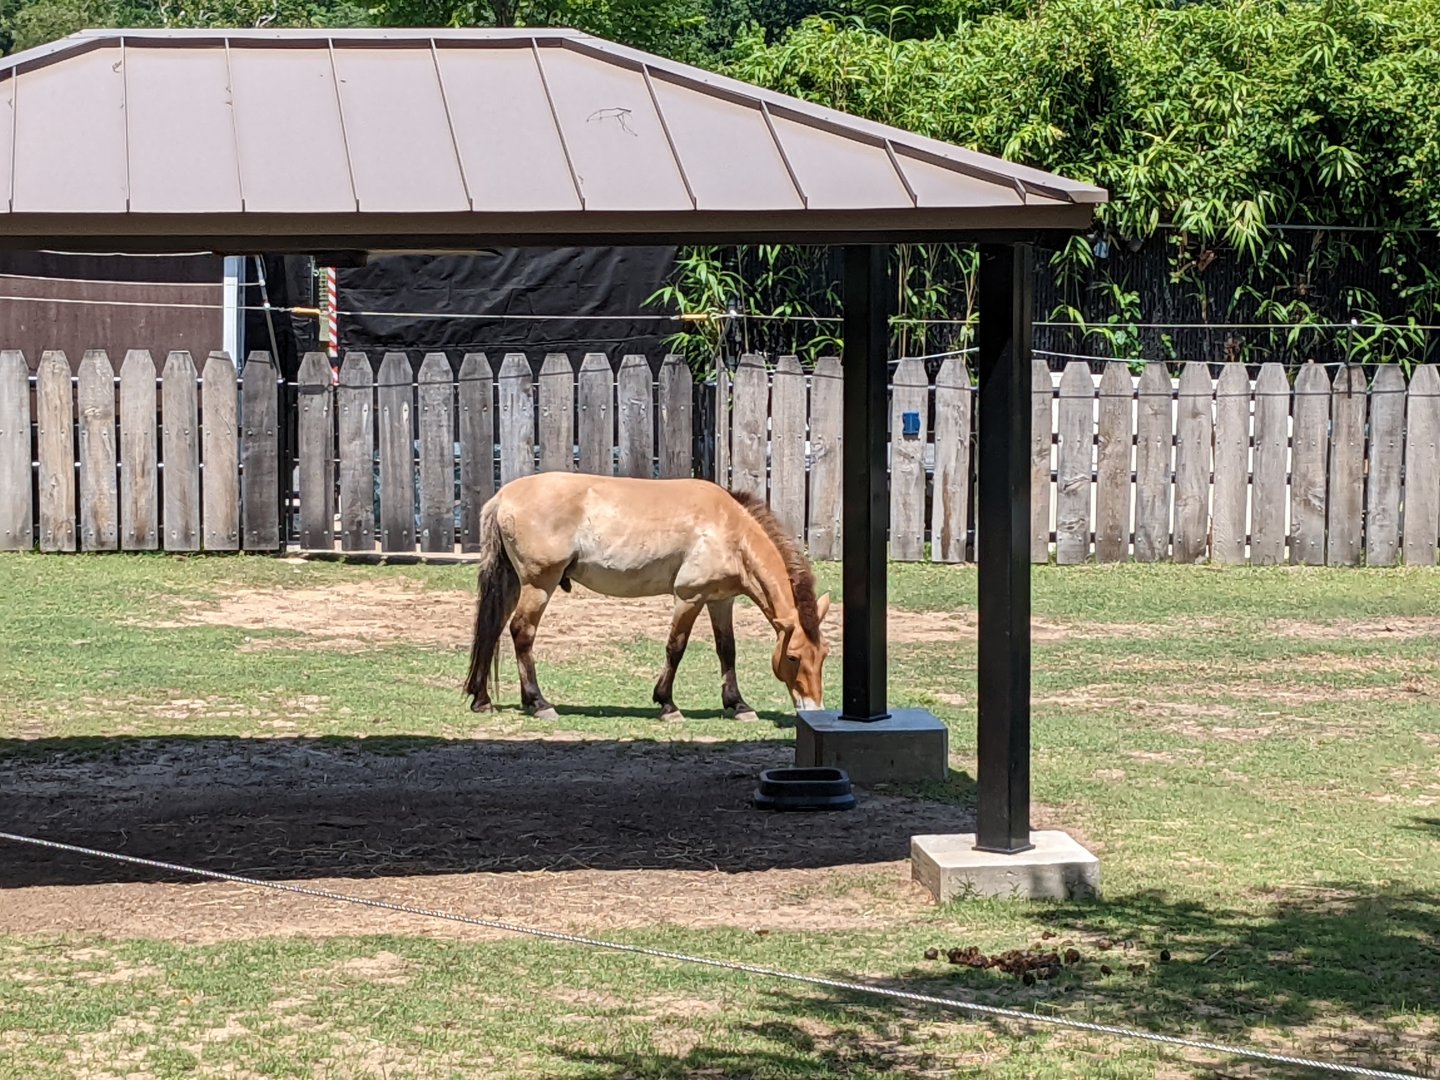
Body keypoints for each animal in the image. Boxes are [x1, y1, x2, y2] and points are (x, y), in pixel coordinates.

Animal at [463, 472, 831, 722]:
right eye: (793, 657)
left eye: (824, 655)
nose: (814, 709)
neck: (729, 529)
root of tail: (502, 496)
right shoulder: (689, 597)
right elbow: (676, 647)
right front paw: (667, 704)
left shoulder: (719, 600)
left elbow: (727, 650)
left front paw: (739, 705)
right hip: (539, 584)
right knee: (521, 633)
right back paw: (538, 703)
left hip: (514, 583)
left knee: (492, 630)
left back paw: (482, 700)